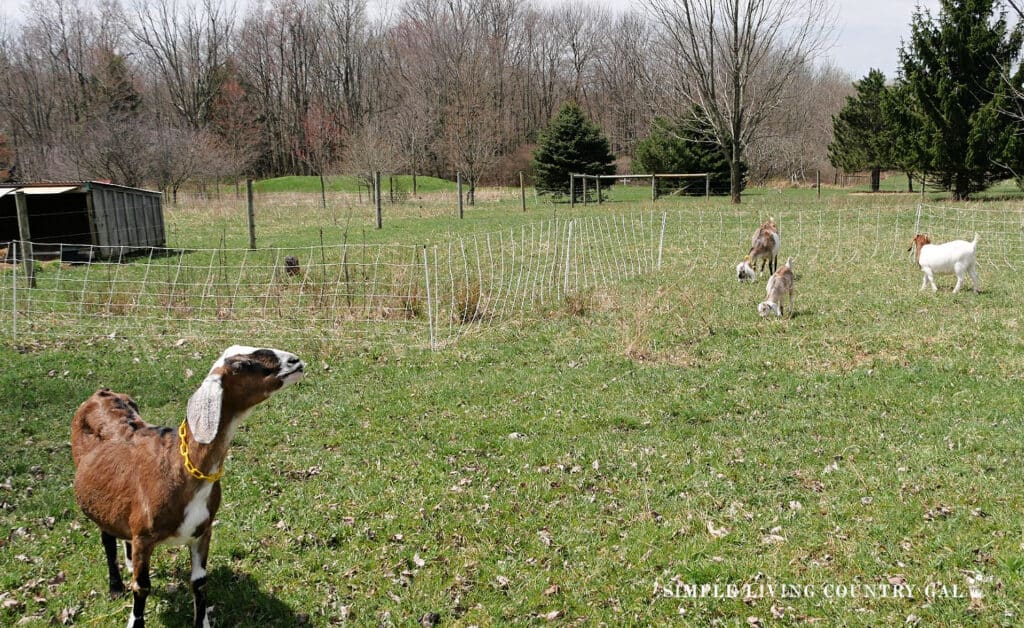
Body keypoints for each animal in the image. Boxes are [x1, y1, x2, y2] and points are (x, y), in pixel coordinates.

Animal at [72, 346, 303, 622]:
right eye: (241, 365)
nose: (296, 361)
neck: (180, 468)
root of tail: (101, 393)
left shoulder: (202, 531)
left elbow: (199, 583)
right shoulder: (144, 538)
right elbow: (142, 588)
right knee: (107, 538)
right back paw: (116, 586)